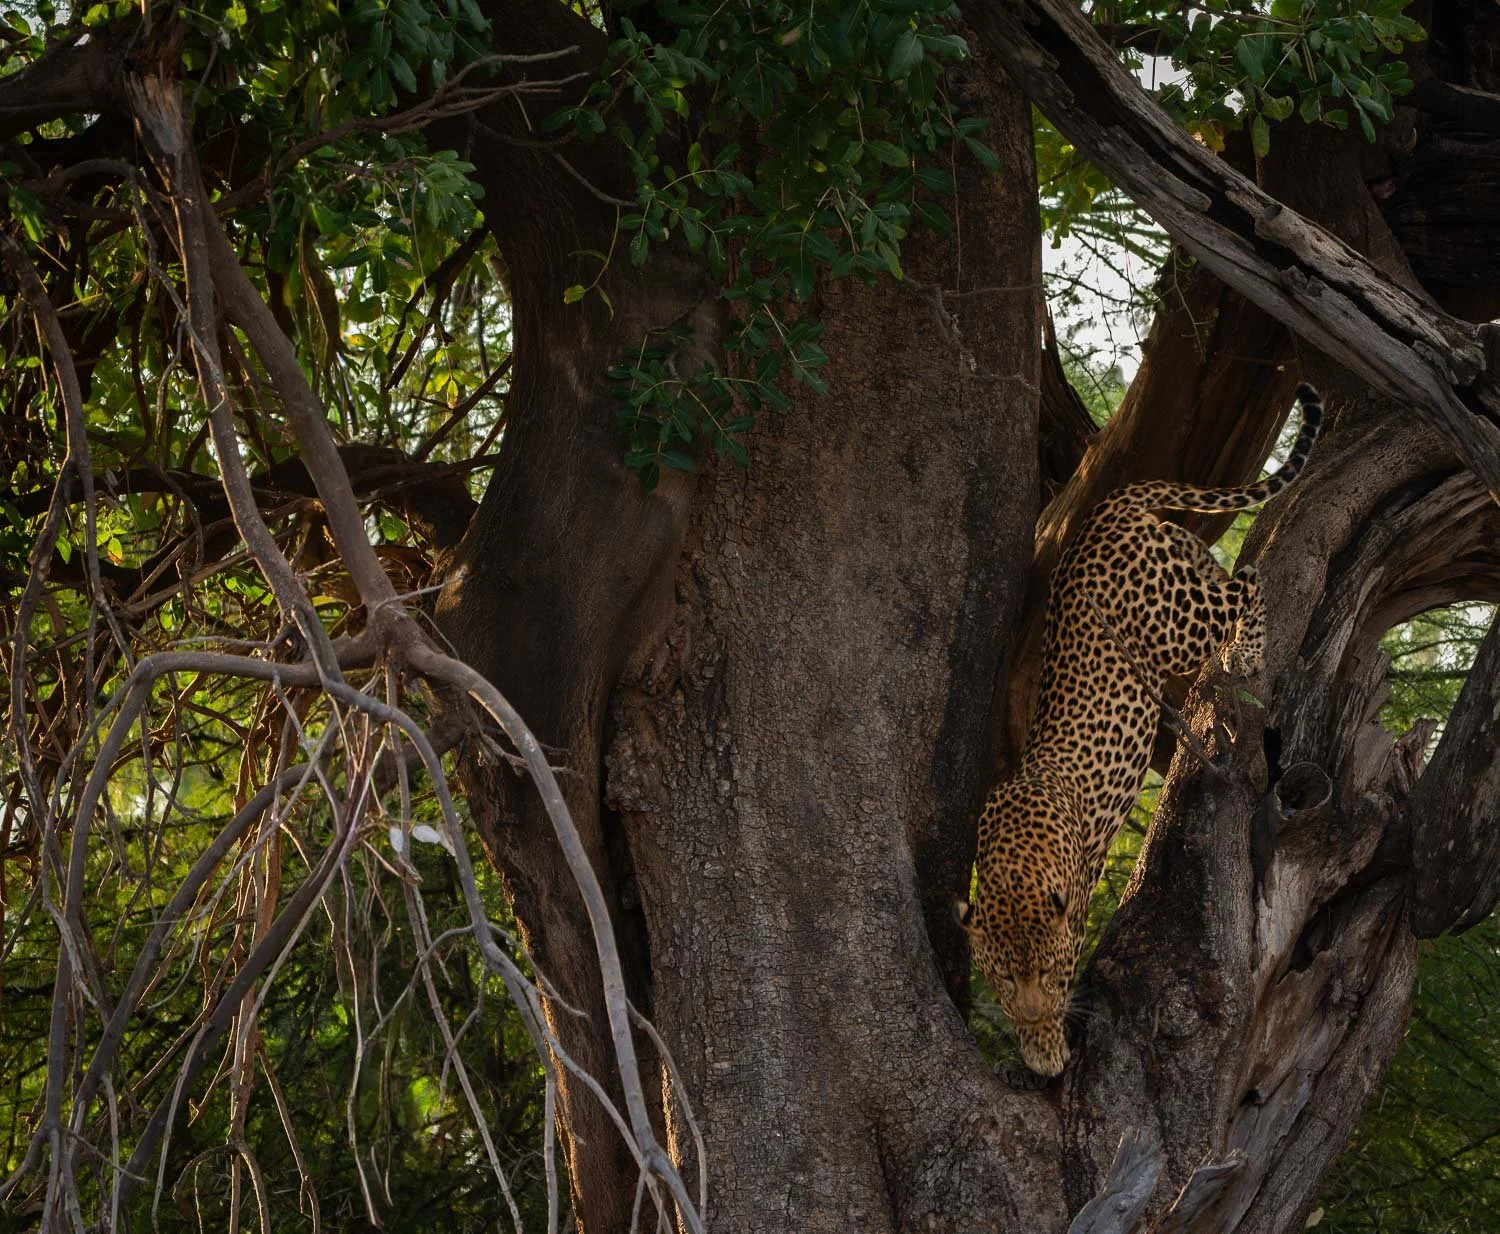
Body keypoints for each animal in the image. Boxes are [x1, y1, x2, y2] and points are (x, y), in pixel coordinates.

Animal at [956, 384, 1323, 1078]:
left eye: (1050, 972)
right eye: (1004, 984)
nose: (1038, 1030)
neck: (1015, 862)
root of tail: (1102, 509)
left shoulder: (1073, 916)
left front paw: (1050, 1050)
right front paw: (1034, 1050)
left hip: (1175, 623)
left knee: (1249, 582)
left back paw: (1246, 653)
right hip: (1181, 567)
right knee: (1232, 575)